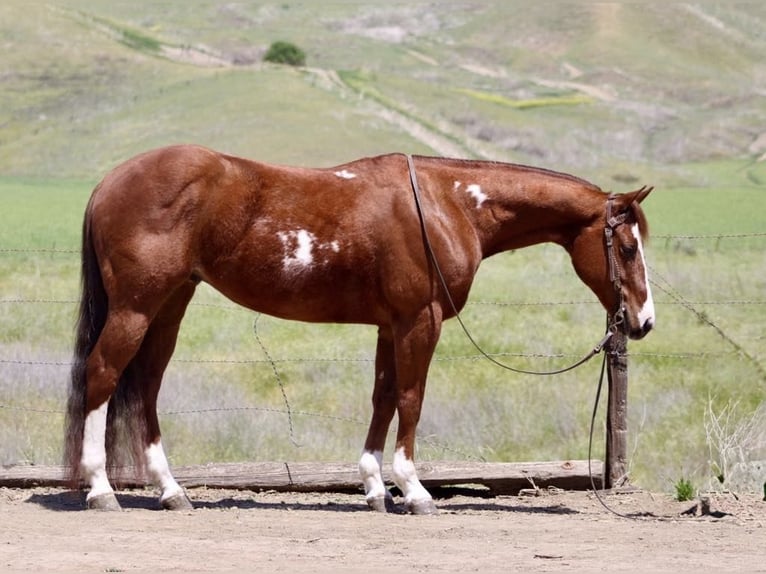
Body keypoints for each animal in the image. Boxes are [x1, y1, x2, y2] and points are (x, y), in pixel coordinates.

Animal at [64, 145, 654, 514]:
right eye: (628, 247)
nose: (643, 321)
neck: (445, 204)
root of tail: (110, 181)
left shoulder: (390, 326)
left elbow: (383, 397)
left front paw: (375, 488)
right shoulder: (419, 321)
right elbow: (412, 398)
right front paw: (413, 490)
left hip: (169, 305)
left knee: (145, 386)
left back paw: (171, 492)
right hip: (136, 307)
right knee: (102, 375)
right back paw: (100, 489)